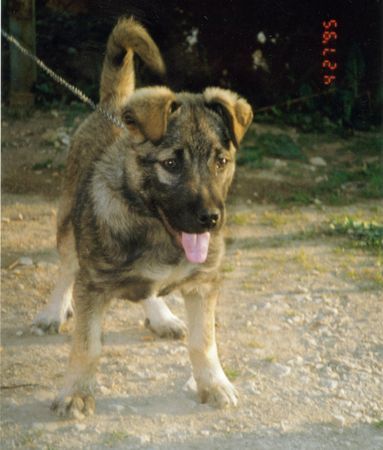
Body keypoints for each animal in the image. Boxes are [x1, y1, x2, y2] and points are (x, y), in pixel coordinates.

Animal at [46, 17, 254, 418]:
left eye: (221, 161)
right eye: (171, 164)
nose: (211, 219)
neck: (156, 230)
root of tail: (113, 105)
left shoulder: (203, 283)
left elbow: (204, 343)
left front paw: (213, 383)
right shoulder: (92, 285)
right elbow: (87, 346)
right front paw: (76, 391)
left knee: (149, 290)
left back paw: (161, 315)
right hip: (66, 225)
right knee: (65, 268)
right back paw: (51, 312)